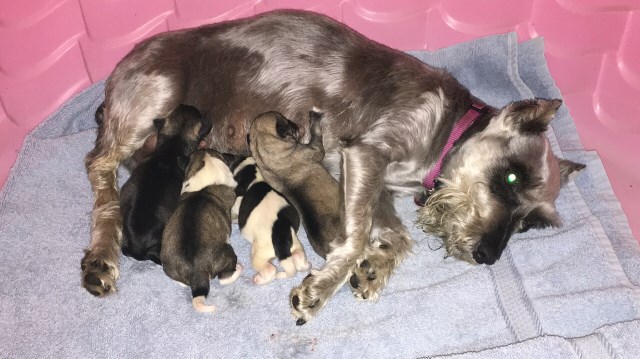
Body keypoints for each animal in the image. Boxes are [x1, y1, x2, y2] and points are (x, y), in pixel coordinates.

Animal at [231, 156, 312, 286]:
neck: (256, 180)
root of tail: (280, 235)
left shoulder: (238, 203)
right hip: (296, 245)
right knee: (298, 258)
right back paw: (306, 265)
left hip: (257, 254)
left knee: (270, 270)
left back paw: (259, 279)